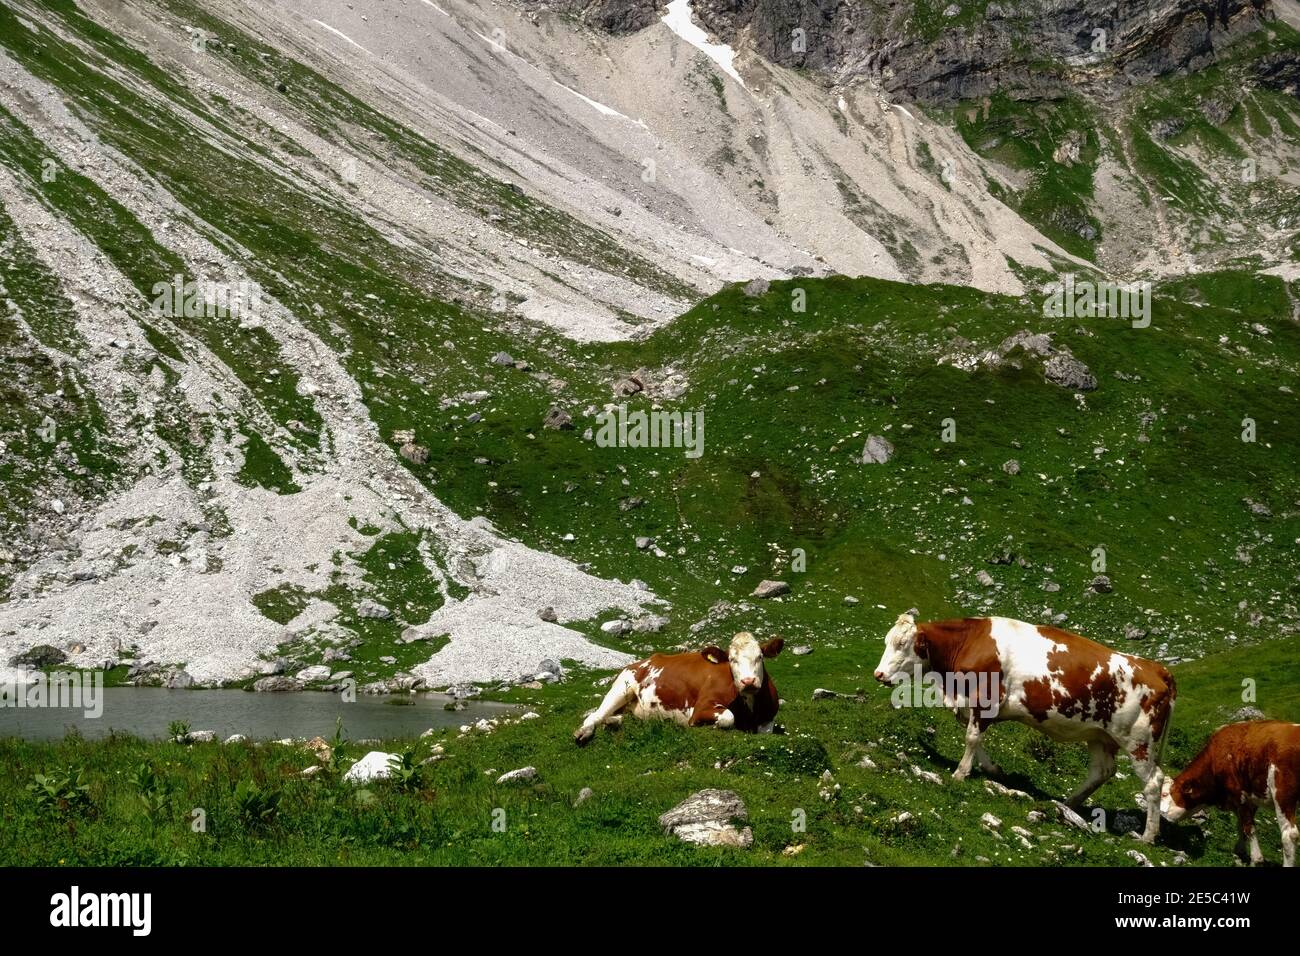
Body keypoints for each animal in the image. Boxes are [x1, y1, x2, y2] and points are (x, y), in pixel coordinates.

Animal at [577, 634, 780, 749]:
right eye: (731, 659)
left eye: (760, 657)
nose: (748, 681)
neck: (749, 707)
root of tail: (641, 661)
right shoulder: (700, 709)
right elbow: (728, 717)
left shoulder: (768, 718)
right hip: (621, 687)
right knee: (596, 714)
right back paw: (583, 732)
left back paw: (613, 722)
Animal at [873, 613, 1180, 842]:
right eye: (888, 641)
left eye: (902, 644)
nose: (878, 674)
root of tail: (1156, 668)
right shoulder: (972, 706)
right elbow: (975, 739)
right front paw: (992, 769)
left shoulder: (985, 699)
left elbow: (971, 737)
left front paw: (960, 773)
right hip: (1100, 735)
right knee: (1102, 771)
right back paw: (1068, 804)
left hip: (1139, 742)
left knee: (1154, 782)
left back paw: (1148, 836)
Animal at [1164, 717, 1294, 868]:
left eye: (1165, 794)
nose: (1161, 818)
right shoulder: (1249, 798)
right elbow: (1241, 825)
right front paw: (1240, 851)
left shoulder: (1240, 794)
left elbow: (1249, 827)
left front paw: (1256, 859)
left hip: (1283, 797)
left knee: (1289, 835)